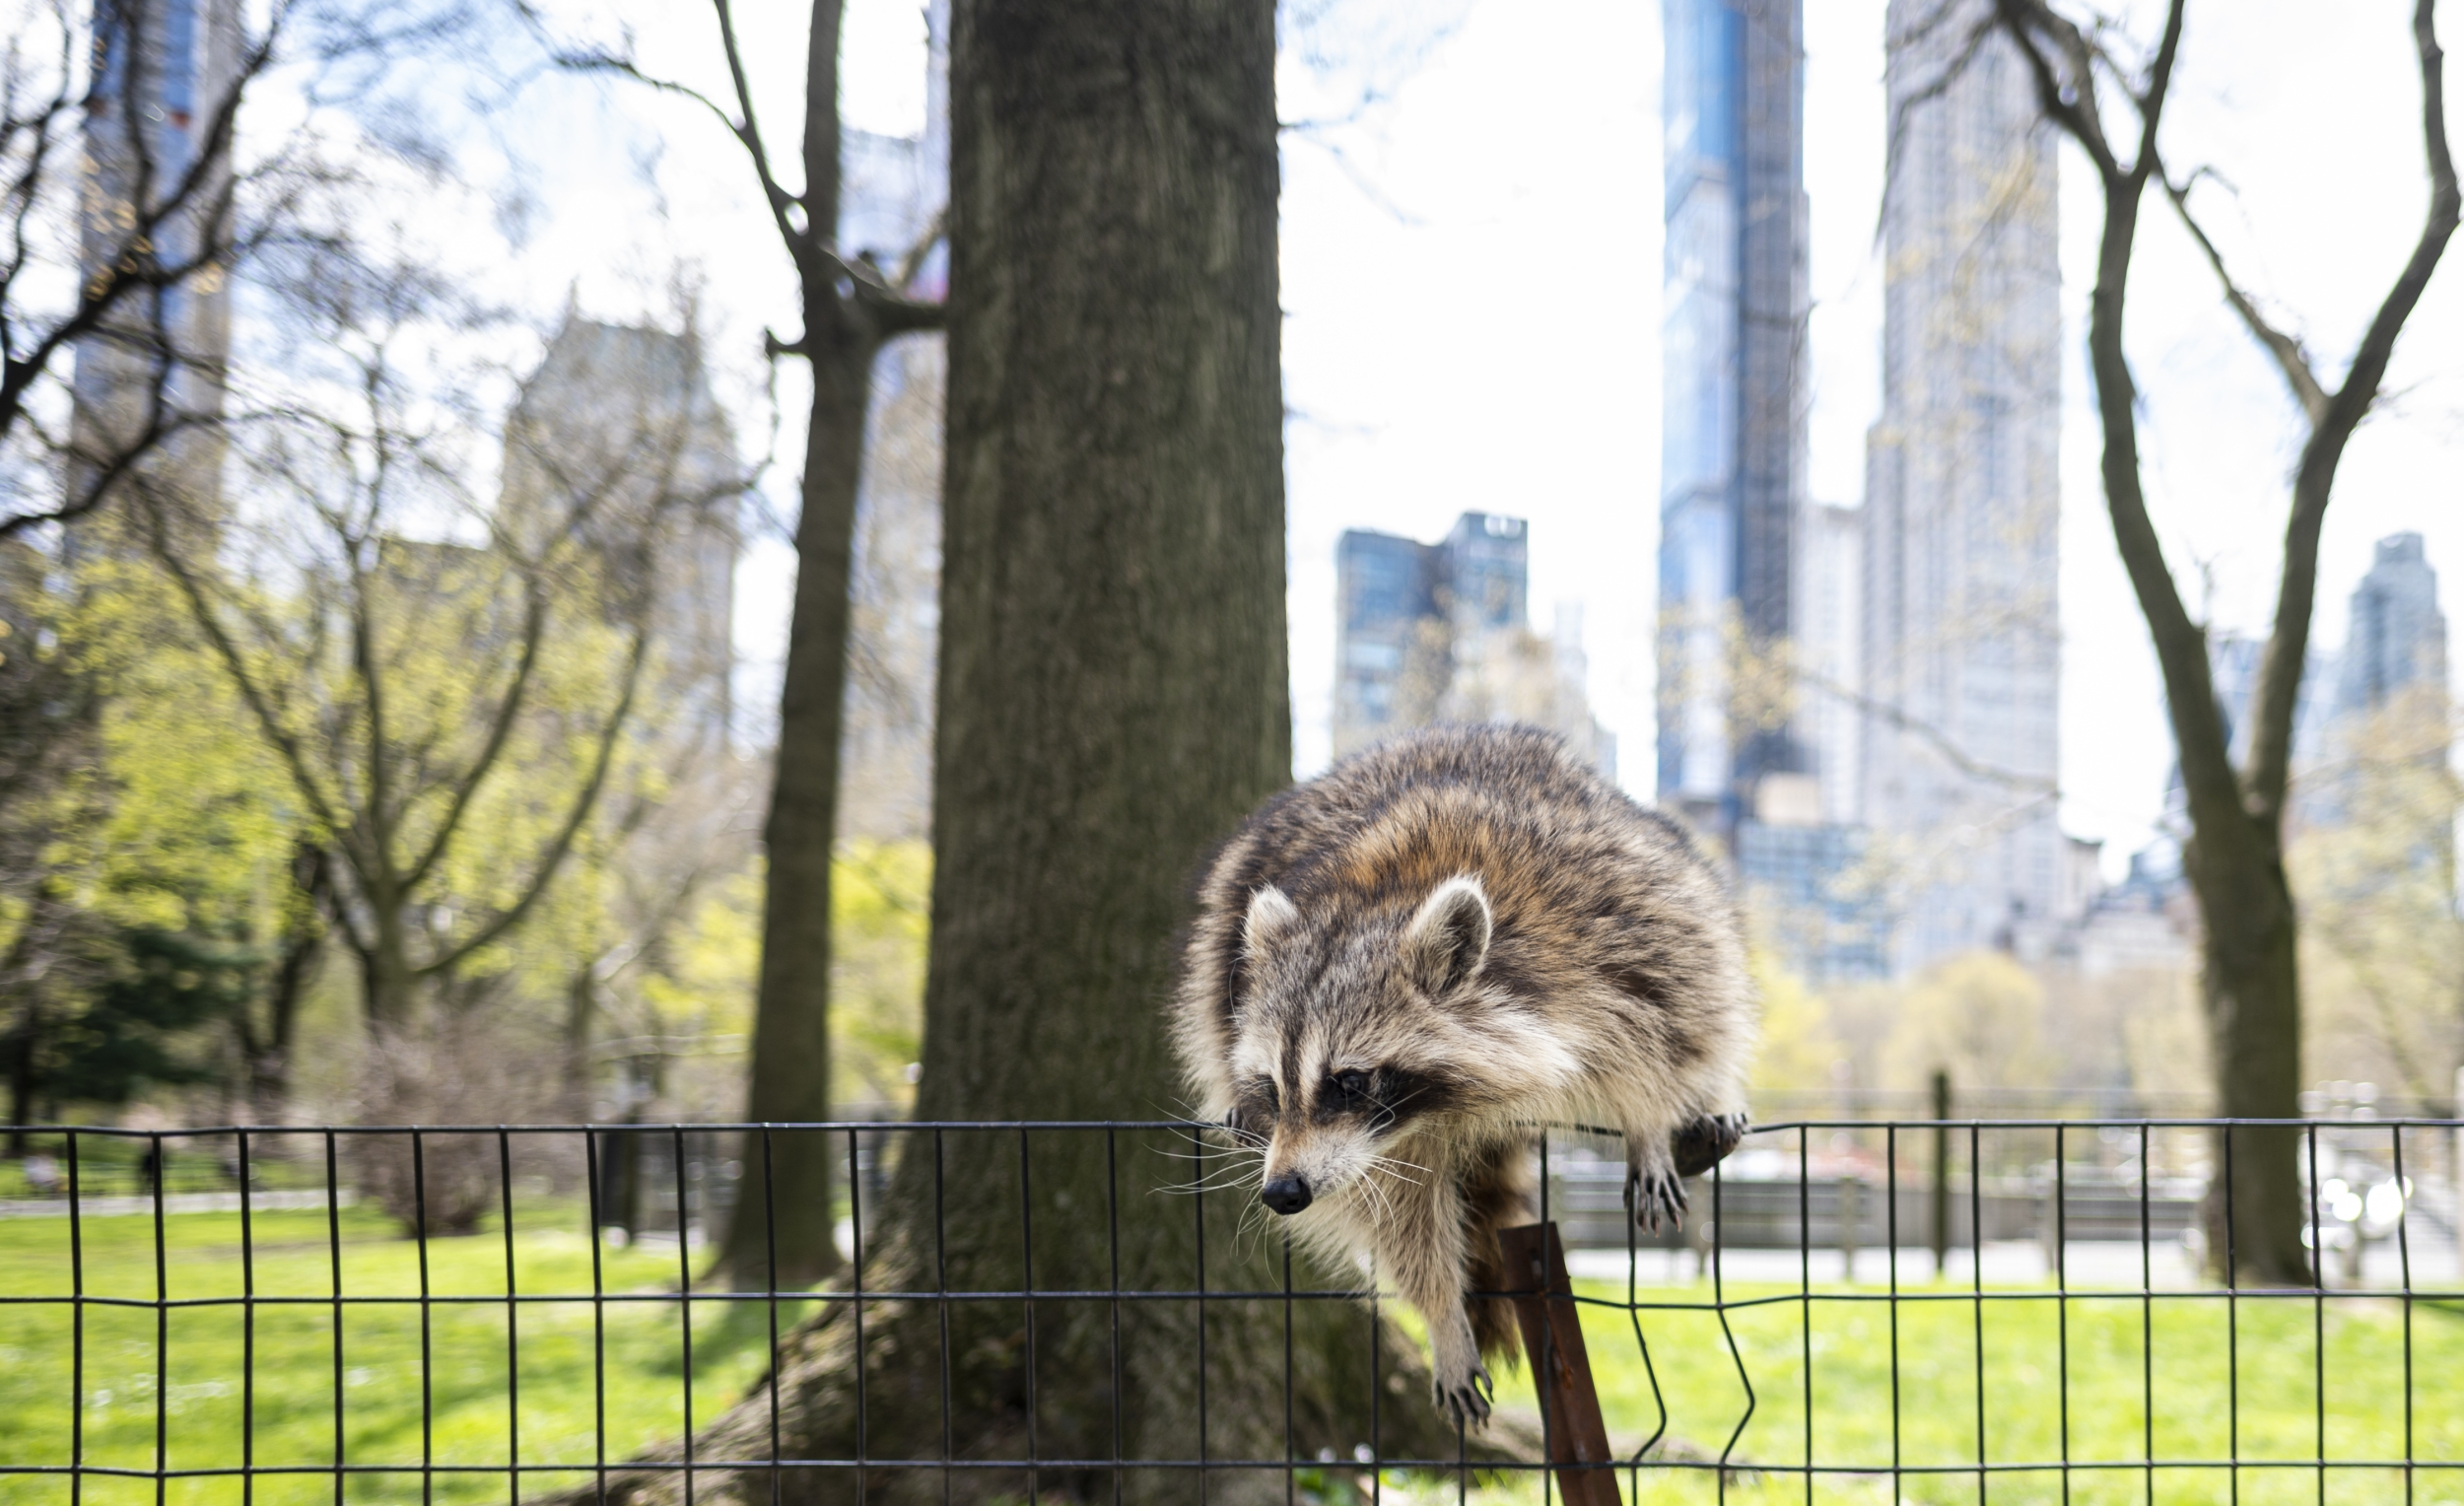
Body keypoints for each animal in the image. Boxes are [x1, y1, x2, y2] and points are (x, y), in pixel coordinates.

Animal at [1172, 724, 1757, 1428]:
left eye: (1347, 1081)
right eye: (1272, 1087)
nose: (1282, 1192)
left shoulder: (1613, 923)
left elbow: (1664, 1022)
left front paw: (1647, 1118)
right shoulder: (1385, 1144)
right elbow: (1401, 1219)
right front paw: (1442, 1317)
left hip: (1666, 867)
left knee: (1713, 987)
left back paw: (1710, 1098)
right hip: (1224, 927)